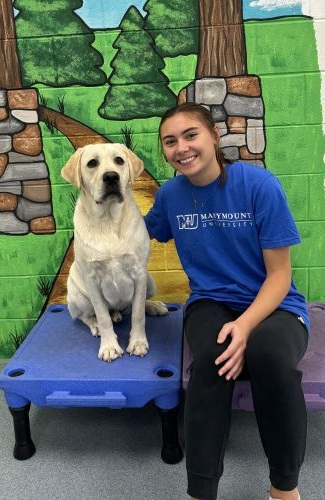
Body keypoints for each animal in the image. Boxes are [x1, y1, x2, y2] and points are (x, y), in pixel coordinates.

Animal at [60, 143, 167, 362]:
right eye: (92, 163)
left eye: (119, 160)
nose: (111, 177)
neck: (108, 220)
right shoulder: (92, 280)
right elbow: (102, 317)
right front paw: (109, 346)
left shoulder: (139, 273)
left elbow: (137, 314)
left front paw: (138, 343)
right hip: (78, 296)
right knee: (85, 316)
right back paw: (96, 325)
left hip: (150, 282)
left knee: (133, 306)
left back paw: (152, 306)